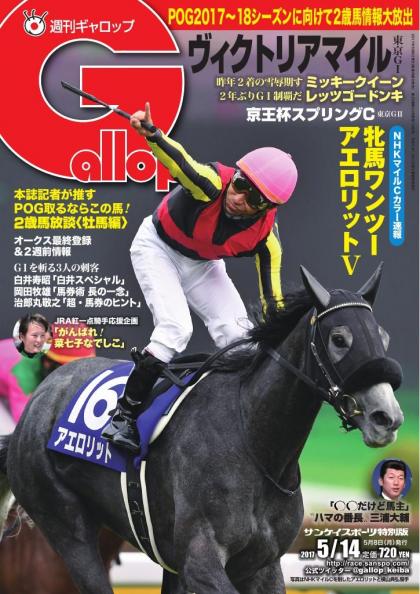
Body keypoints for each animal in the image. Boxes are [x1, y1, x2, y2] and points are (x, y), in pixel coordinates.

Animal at [0, 265, 404, 594]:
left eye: (384, 337)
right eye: (339, 339)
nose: (387, 417)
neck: (255, 444)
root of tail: (42, 396)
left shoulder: (261, 565)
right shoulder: (200, 560)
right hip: (65, 525)